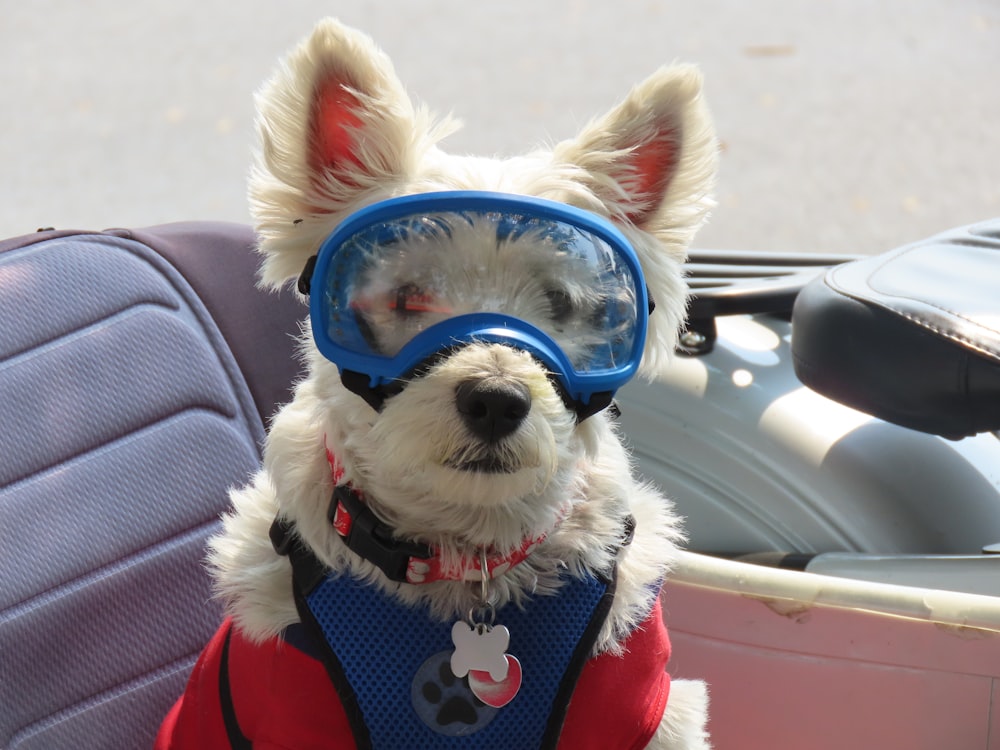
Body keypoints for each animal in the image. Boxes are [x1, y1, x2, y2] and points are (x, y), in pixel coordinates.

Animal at [158, 17, 720, 750]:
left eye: (563, 303)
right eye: (405, 297)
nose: (496, 400)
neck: (465, 560)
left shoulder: (631, 703)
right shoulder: (292, 701)